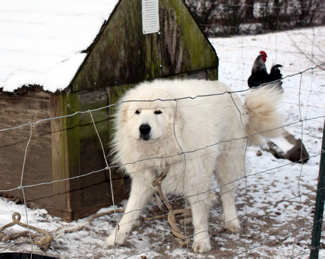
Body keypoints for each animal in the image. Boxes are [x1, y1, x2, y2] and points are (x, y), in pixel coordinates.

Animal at [105, 79, 280, 254]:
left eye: (158, 112)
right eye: (138, 112)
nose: (144, 128)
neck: (166, 148)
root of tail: (228, 91)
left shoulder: (196, 176)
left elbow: (200, 216)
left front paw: (201, 240)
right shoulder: (146, 180)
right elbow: (129, 212)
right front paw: (117, 236)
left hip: (227, 161)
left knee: (227, 193)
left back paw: (231, 221)